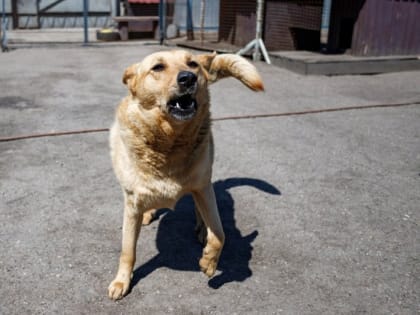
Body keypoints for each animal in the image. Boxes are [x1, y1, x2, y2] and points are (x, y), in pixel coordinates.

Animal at [106, 50, 262, 302]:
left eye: (192, 64)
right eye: (158, 67)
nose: (189, 78)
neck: (170, 142)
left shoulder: (204, 188)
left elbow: (220, 233)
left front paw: (209, 261)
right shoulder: (131, 204)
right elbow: (127, 250)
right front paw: (122, 281)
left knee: (201, 212)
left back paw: (201, 229)